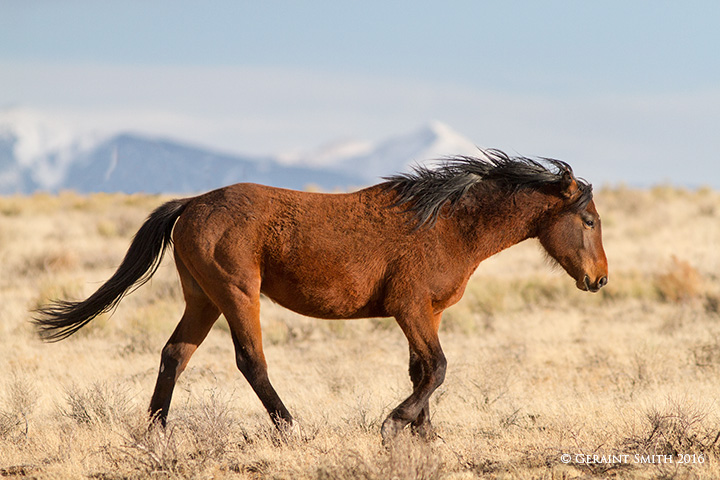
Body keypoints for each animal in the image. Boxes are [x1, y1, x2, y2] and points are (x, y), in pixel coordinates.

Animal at [33, 150, 608, 442]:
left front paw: (424, 435)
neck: (446, 225)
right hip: (237, 295)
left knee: (174, 354)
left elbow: (423, 370)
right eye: (588, 220)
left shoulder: (429, 314)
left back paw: (156, 433)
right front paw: (395, 424)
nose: (600, 279)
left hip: (203, 300)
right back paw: (291, 429)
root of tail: (192, 203)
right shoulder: (409, 309)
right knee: (251, 361)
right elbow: (438, 368)